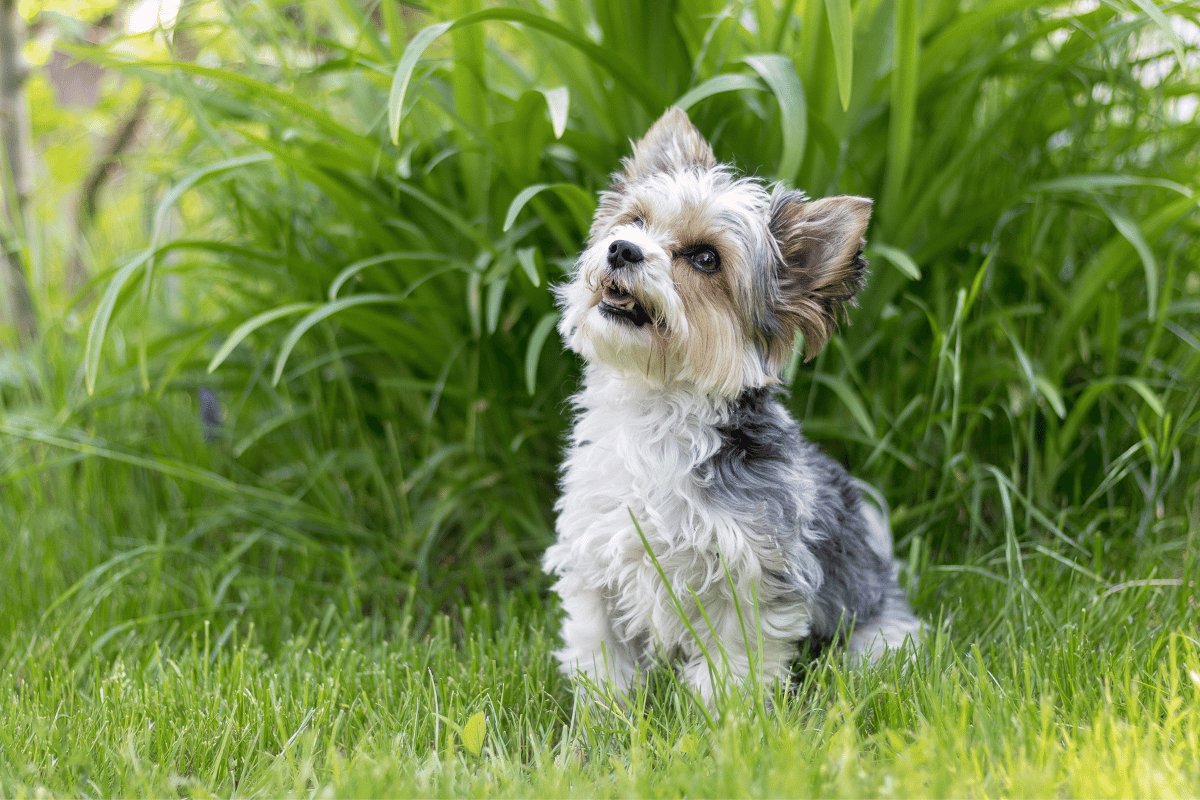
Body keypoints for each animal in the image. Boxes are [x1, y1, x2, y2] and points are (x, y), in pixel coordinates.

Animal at [547, 107, 926, 705]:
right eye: (634, 220)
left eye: (705, 258)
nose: (622, 249)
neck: (657, 411)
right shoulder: (596, 563)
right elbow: (603, 656)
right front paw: (603, 714)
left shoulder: (750, 577)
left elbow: (732, 667)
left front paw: (723, 721)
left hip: (878, 636)